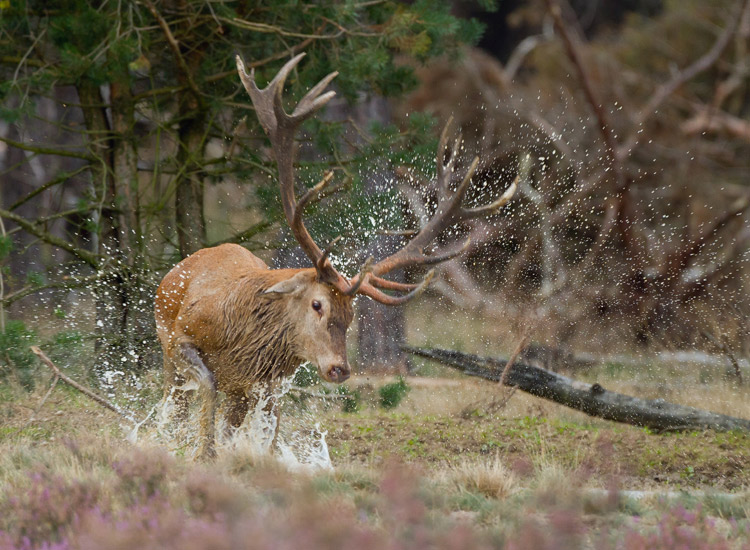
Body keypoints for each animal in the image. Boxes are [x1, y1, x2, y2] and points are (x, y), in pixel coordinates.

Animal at [154, 53, 517, 460]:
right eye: (317, 304)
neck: (239, 343)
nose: (340, 369)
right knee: (171, 406)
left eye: (352, 314)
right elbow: (207, 389)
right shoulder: (181, 338)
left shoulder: (261, 385)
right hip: (166, 345)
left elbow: (264, 429)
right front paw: (202, 454)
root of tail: (178, 267)